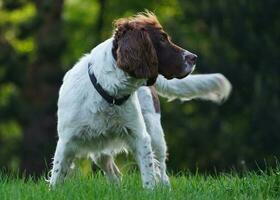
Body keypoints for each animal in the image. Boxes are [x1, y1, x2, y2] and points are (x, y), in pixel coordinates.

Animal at [48, 10, 232, 188]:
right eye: (162, 39)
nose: (194, 57)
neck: (108, 91)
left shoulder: (140, 136)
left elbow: (149, 176)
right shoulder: (66, 141)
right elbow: (56, 177)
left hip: (155, 133)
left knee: (162, 173)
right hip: (101, 149)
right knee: (113, 172)